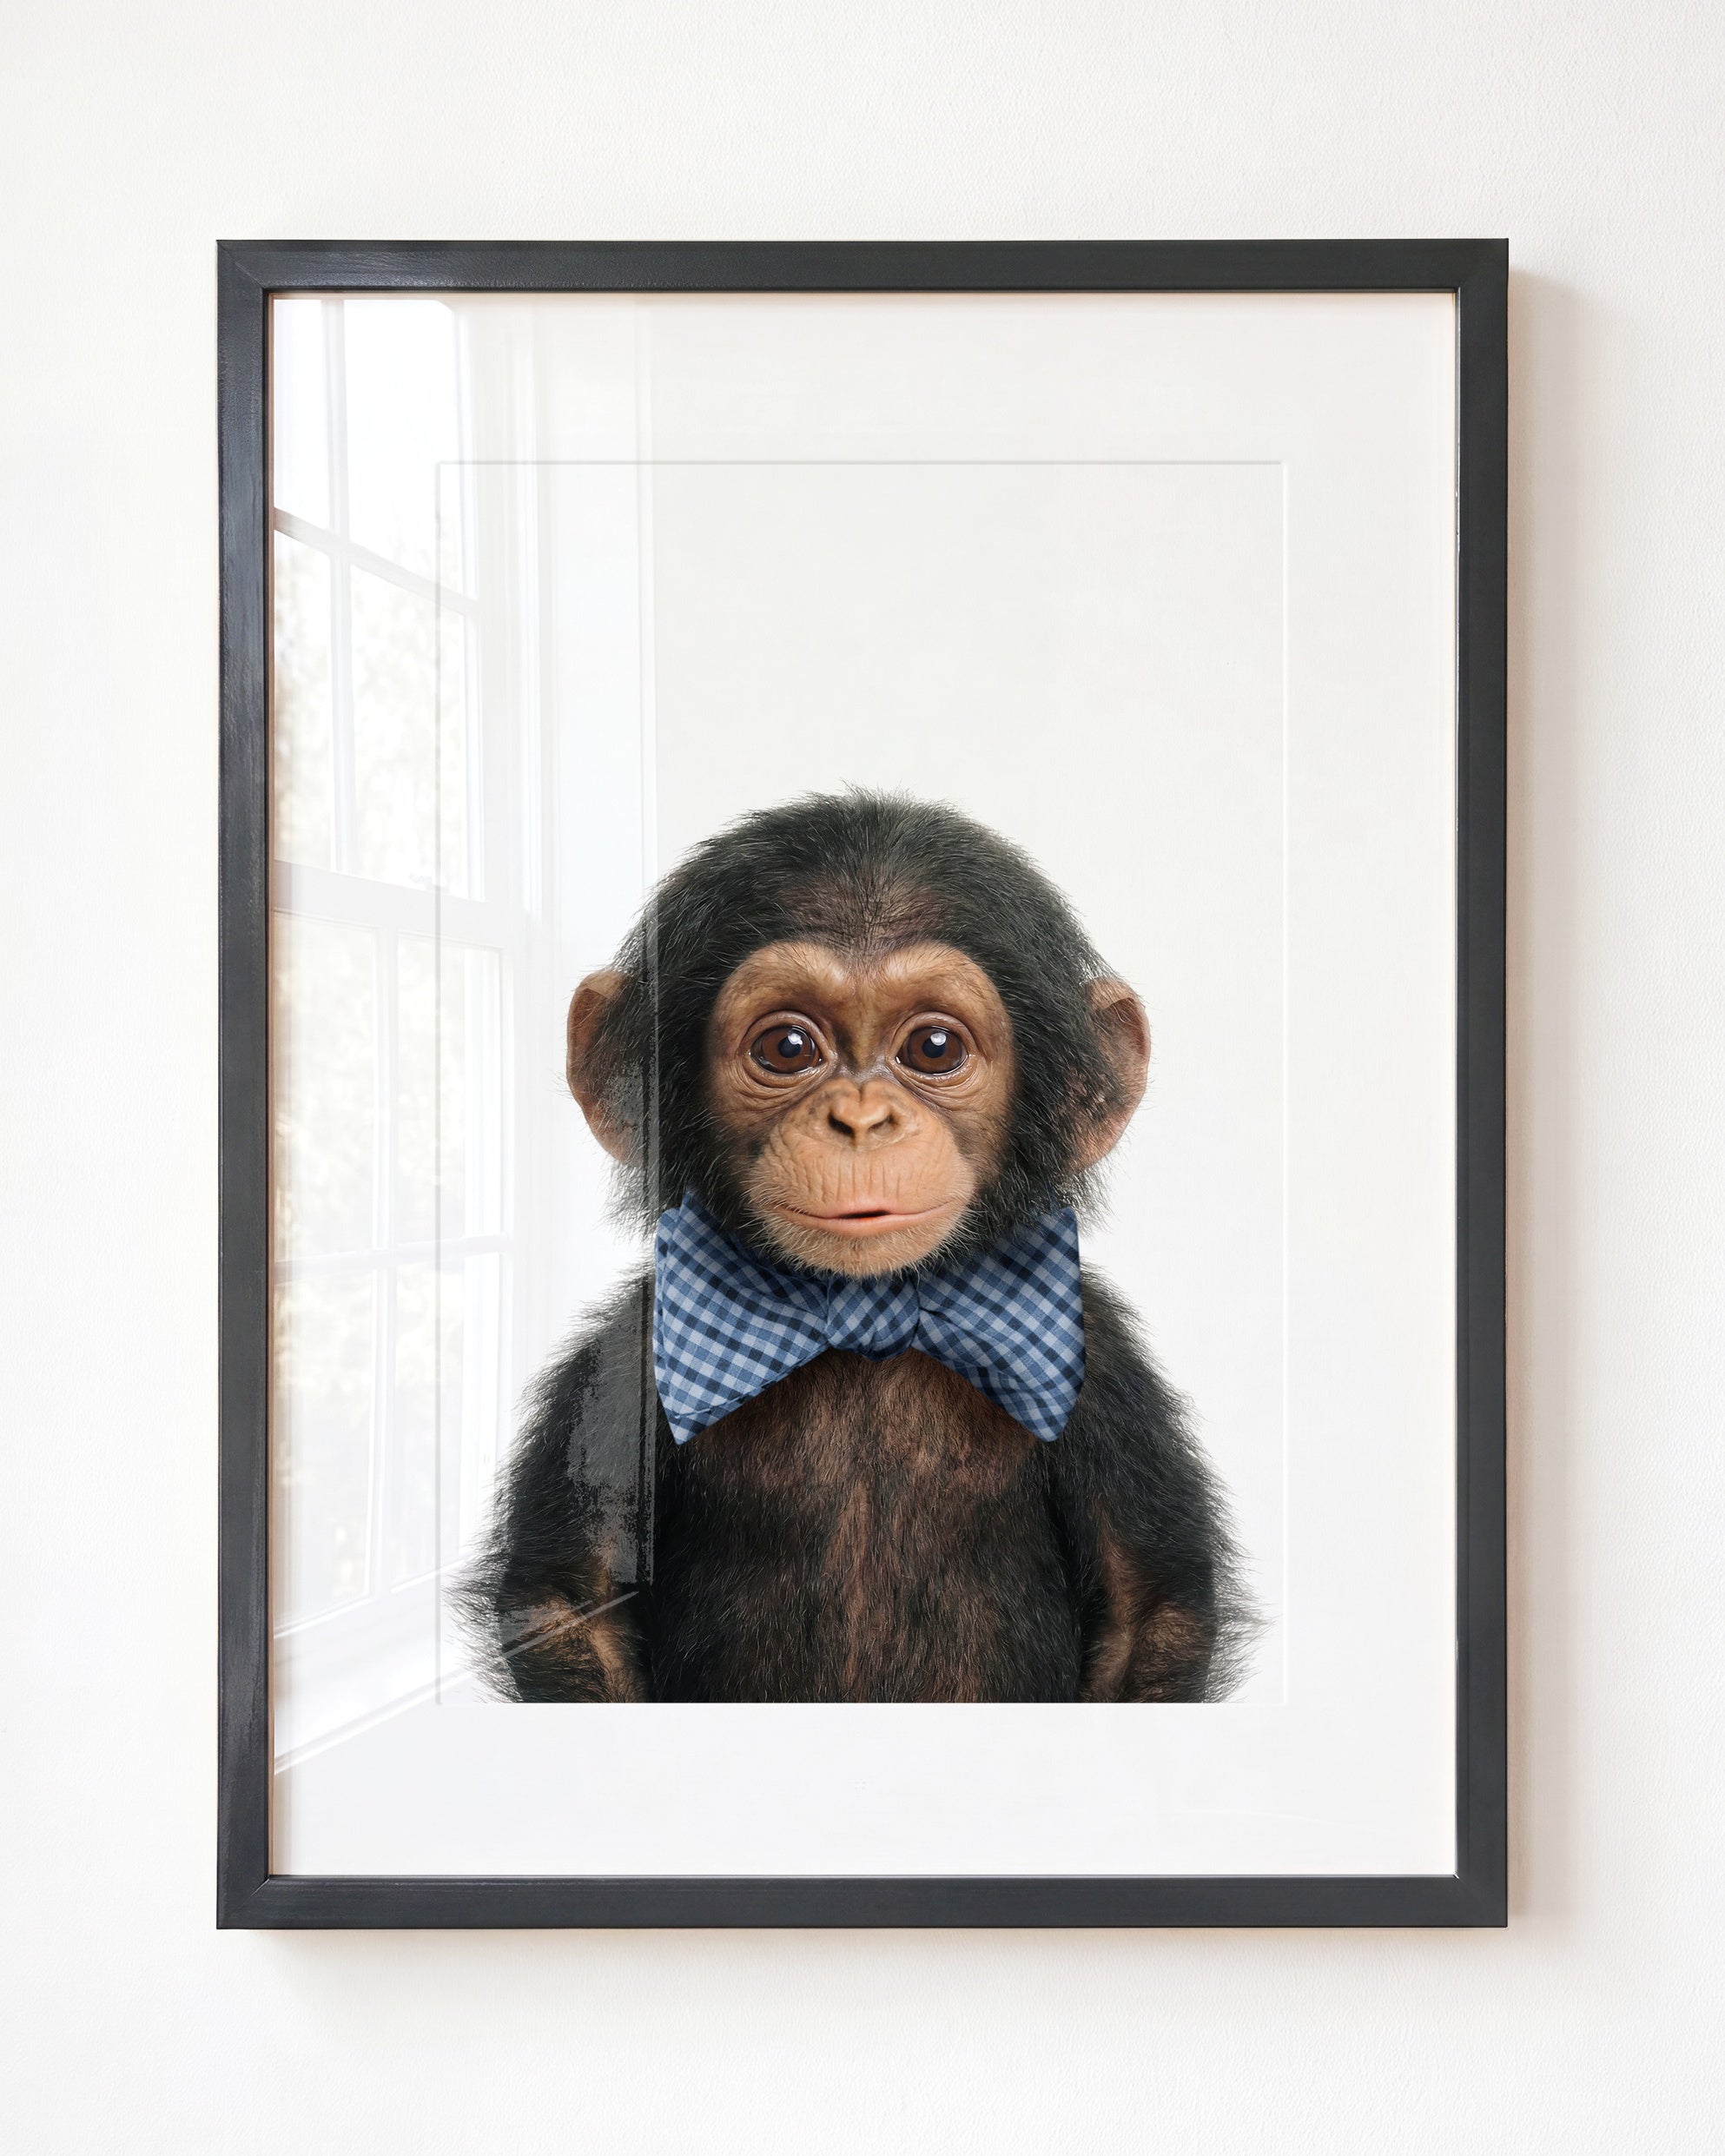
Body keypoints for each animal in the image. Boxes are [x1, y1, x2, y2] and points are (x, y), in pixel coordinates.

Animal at [457, 792, 1253, 1703]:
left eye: (934, 1048)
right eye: (787, 1047)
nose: (862, 1120)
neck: (865, 1314)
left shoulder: (1103, 1366)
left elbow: (1148, 1608)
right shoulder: (627, 1355)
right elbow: (570, 1601)